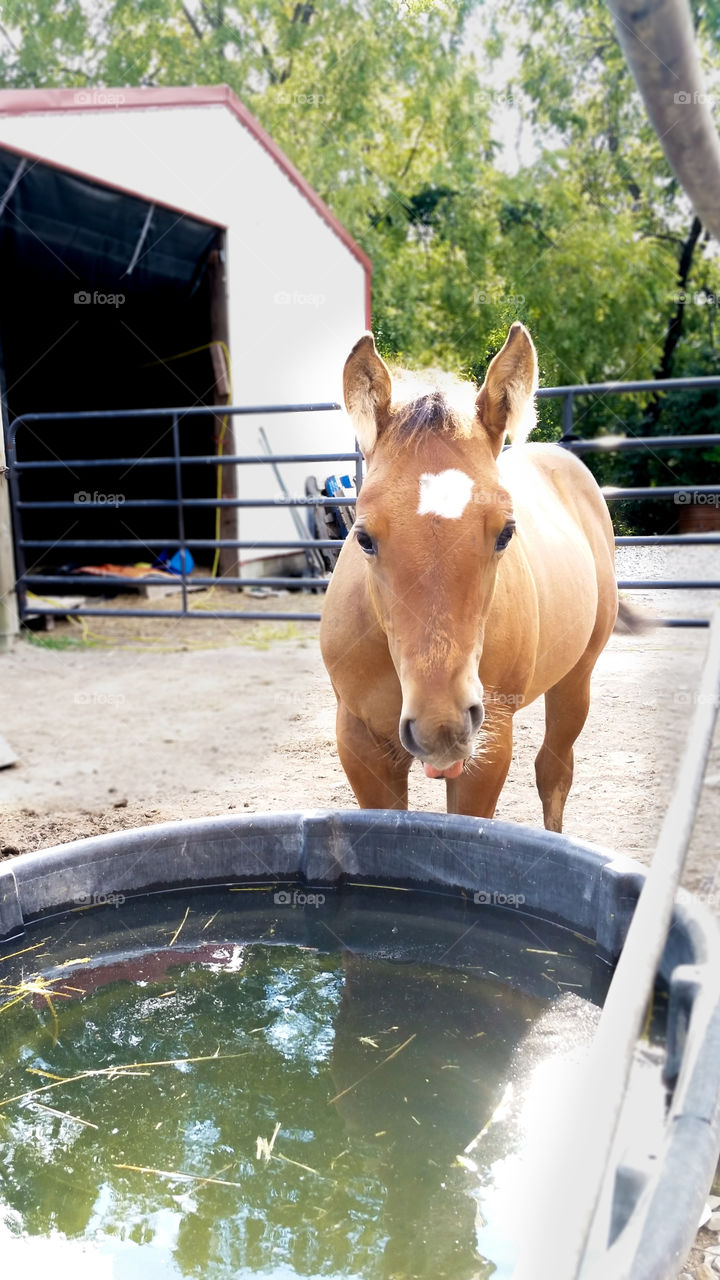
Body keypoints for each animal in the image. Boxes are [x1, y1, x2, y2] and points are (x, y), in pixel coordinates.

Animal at [319, 322, 619, 831]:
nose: (442, 723)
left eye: (506, 532)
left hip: (575, 680)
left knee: (554, 773)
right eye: (363, 537)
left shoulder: (489, 744)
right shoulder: (360, 744)